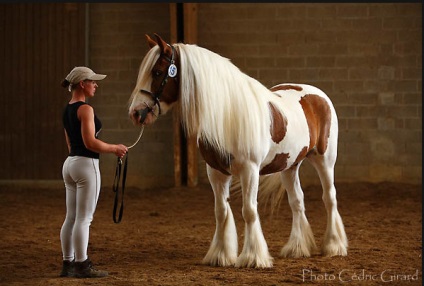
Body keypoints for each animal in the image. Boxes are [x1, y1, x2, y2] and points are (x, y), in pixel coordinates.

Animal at [128, 33, 348, 268]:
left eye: (157, 72)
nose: (136, 113)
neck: (227, 114)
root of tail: (318, 94)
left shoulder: (249, 171)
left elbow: (249, 211)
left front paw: (253, 257)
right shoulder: (216, 172)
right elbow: (221, 212)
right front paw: (220, 255)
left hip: (325, 160)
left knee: (329, 198)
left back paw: (334, 246)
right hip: (290, 166)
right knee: (297, 202)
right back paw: (297, 249)